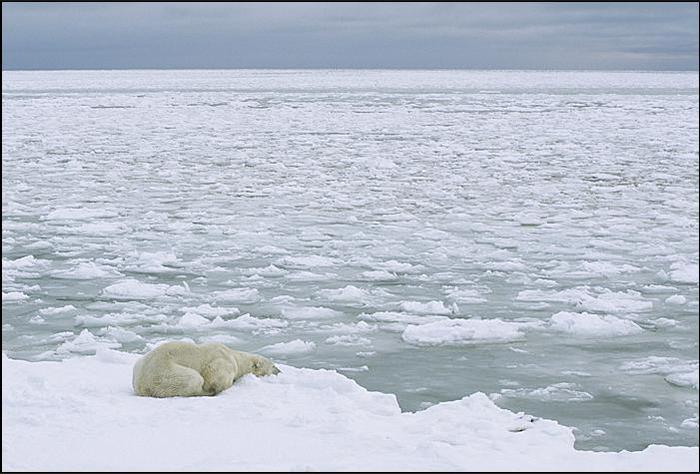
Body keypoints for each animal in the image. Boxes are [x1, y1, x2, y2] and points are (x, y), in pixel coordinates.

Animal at [133, 340, 280, 396]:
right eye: (273, 365)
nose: (279, 371)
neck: (235, 357)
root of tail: (140, 384)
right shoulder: (221, 361)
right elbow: (215, 377)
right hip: (166, 374)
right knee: (193, 379)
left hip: (139, 364)